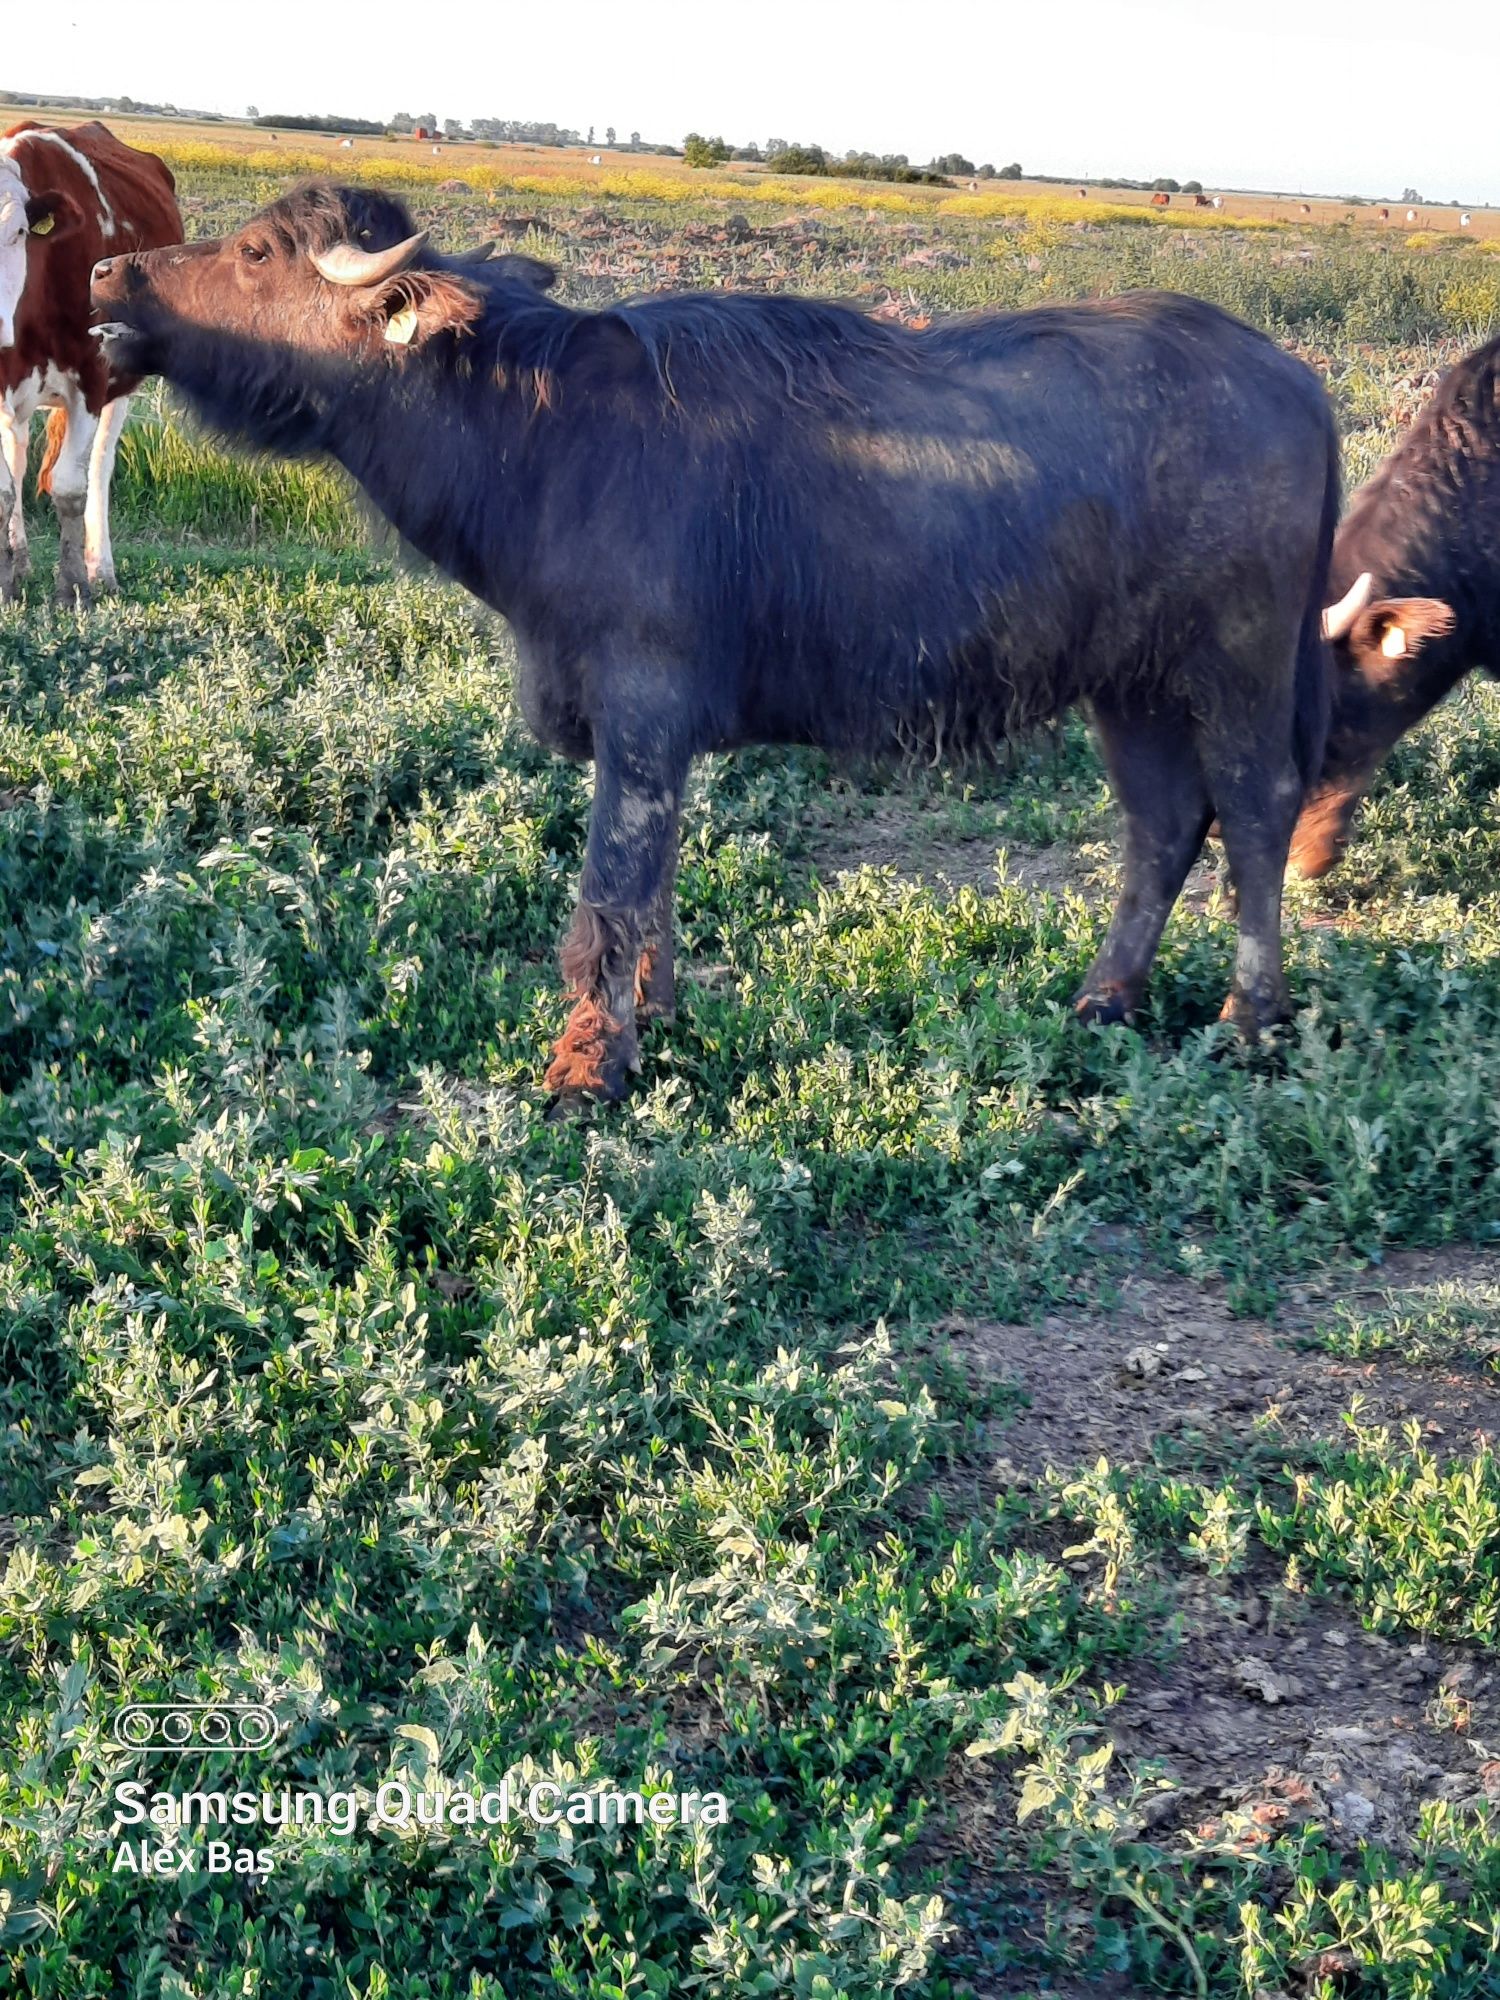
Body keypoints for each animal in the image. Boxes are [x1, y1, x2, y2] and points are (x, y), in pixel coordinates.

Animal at [0, 118, 181, 596]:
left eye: (17, 233)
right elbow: (5, 488)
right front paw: (6, 582)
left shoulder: (91, 378)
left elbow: (69, 486)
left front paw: (73, 586)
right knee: (19, 457)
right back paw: (19, 564)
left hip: (122, 382)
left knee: (99, 466)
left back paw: (102, 570)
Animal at [91, 188, 1336, 1112]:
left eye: (256, 250)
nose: (109, 276)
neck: (540, 434)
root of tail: (1299, 385)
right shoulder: (655, 731)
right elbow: (659, 881)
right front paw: (656, 1013)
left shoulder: (641, 707)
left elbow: (611, 886)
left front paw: (586, 1065)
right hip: (1129, 685)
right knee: (1162, 823)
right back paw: (1104, 998)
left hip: (1238, 662)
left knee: (1257, 808)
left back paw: (1249, 1019)